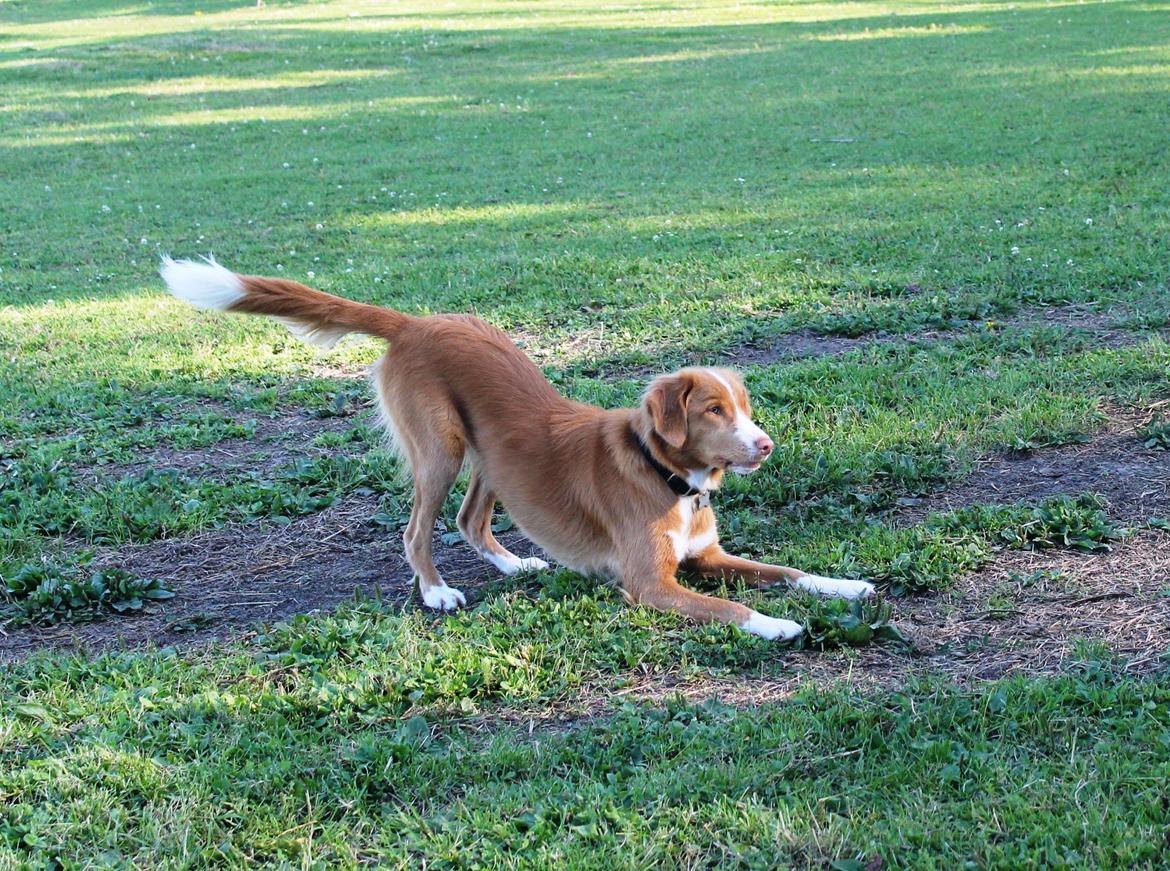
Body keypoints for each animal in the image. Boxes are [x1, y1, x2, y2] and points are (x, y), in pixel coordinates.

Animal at [162, 256, 879, 641]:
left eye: (747, 406)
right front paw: (779, 625)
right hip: (441, 450)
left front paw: (844, 584)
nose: (766, 443)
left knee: (469, 519)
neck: (668, 476)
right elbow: (734, 605)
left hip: (491, 458)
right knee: (417, 529)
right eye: (712, 410)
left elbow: (787, 570)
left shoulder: (709, 556)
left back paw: (514, 565)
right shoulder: (650, 584)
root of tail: (415, 322)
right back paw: (437, 593)